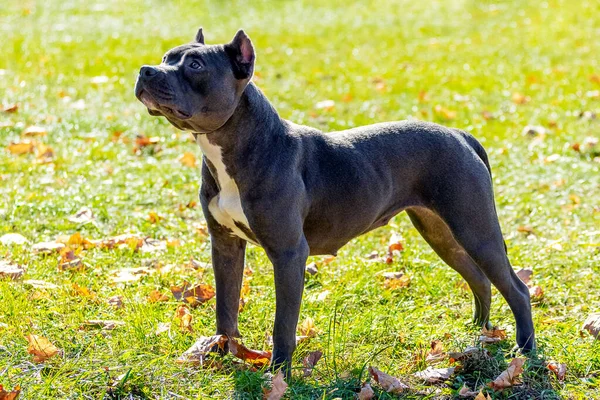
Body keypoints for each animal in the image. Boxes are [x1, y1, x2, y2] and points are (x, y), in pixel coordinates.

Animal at [135, 28, 536, 376]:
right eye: (166, 57)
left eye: (195, 65)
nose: (145, 69)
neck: (237, 145)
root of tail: (459, 134)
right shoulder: (225, 245)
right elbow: (226, 306)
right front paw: (220, 352)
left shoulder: (288, 254)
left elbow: (283, 324)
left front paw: (277, 373)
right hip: (441, 233)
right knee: (479, 278)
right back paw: (477, 331)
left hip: (475, 230)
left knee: (516, 288)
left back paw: (525, 349)